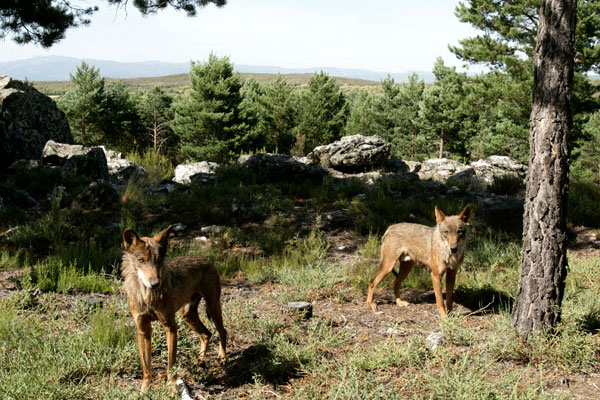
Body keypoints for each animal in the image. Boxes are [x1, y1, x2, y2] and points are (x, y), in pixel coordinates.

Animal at [122, 227, 227, 392]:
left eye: (159, 260)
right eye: (141, 260)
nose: (155, 284)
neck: (147, 296)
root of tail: (206, 259)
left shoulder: (171, 327)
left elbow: (171, 364)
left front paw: (172, 387)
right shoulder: (143, 330)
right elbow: (146, 368)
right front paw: (144, 391)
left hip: (212, 307)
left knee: (222, 332)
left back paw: (222, 358)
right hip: (187, 315)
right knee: (206, 334)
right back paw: (200, 361)